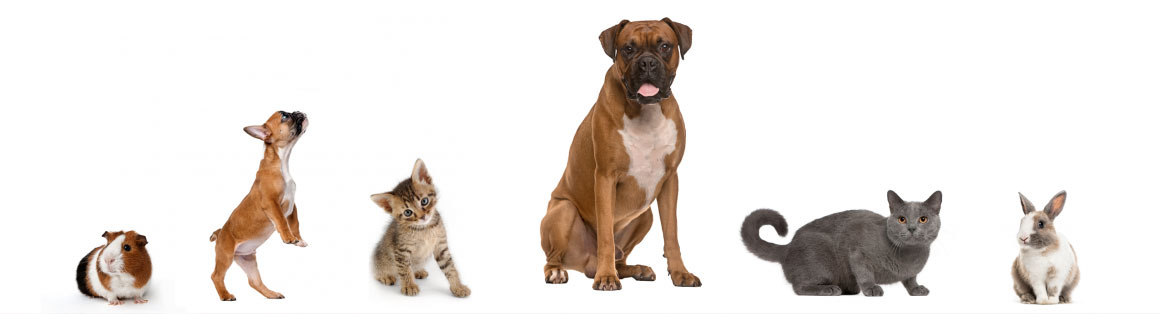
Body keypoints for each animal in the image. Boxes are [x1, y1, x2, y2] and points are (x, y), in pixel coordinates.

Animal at [208, 110, 308, 301]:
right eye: (284, 116)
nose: (298, 112)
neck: (281, 160)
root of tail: (220, 232)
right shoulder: (271, 202)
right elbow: (281, 221)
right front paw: (288, 237)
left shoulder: (293, 206)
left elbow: (295, 223)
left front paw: (298, 239)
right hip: (225, 256)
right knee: (216, 276)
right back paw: (225, 295)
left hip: (248, 260)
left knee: (254, 282)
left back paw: (271, 294)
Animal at [366, 159, 466, 298]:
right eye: (408, 212)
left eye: (424, 201)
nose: (423, 217)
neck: (425, 229)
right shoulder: (401, 251)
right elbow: (405, 269)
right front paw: (409, 286)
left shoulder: (441, 246)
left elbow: (450, 267)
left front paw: (458, 287)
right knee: (377, 272)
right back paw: (385, 276)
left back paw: (418, 271)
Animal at [535, 18, 696, 291]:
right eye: (628, 49)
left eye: (665, 46)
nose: (647, 62)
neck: (645, 111)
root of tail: (587, 265)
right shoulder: (605, 178)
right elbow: (606, 238)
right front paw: (606, 277)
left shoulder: (670, 180)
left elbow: (671, 234)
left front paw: (679, 273)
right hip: (563, 210)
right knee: (553, 257)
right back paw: (559, 272)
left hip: (646, 216)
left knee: (622, 258)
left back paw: (636, 269)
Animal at [742, 191, 941, 296]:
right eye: (901, 219)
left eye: (923, 219)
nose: (912, 228)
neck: (910, 256)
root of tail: (787, 247)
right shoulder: (857, 253)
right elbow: (864, 273)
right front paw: (871, 288)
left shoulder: (911, 272)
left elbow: (911, 278)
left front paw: (916, 289)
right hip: (820, 258)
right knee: (799, 287)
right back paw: (830, 289)